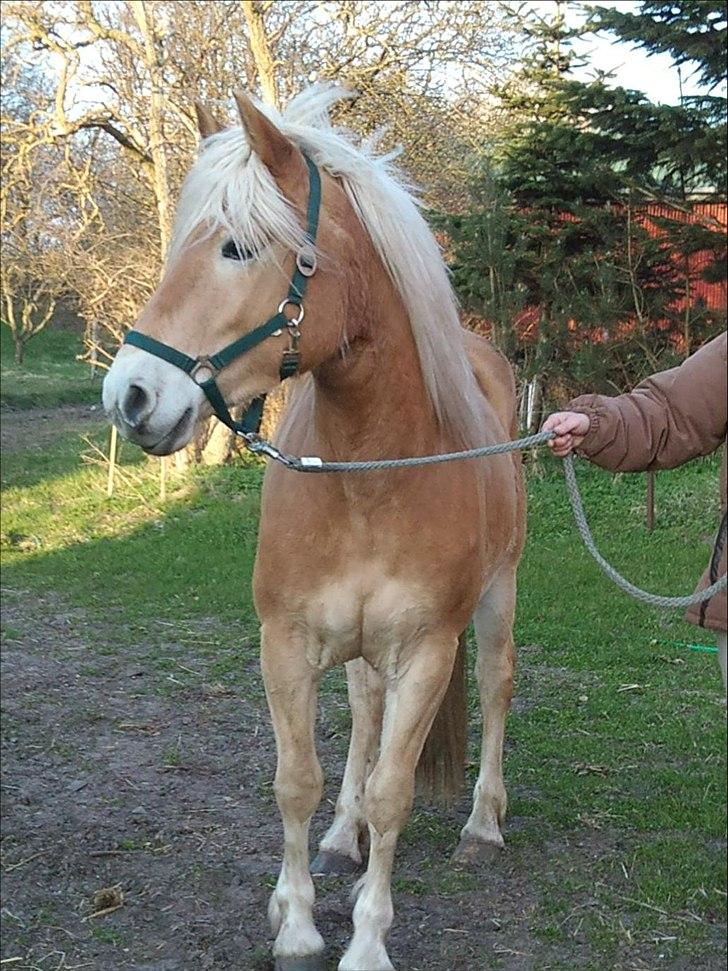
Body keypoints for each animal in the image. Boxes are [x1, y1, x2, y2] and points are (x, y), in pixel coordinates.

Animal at [104, 83, 524, 971]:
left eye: (237, 247)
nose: (130, 396)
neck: (367, 474)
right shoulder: (285, 640)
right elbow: (297, 777)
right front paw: (296, 918)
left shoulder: (428, 649)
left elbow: (396, 792)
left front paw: (366, 940)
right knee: (363, 713)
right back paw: (340, 835)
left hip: (499, 592)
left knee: (497, 683)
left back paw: (482, 824)